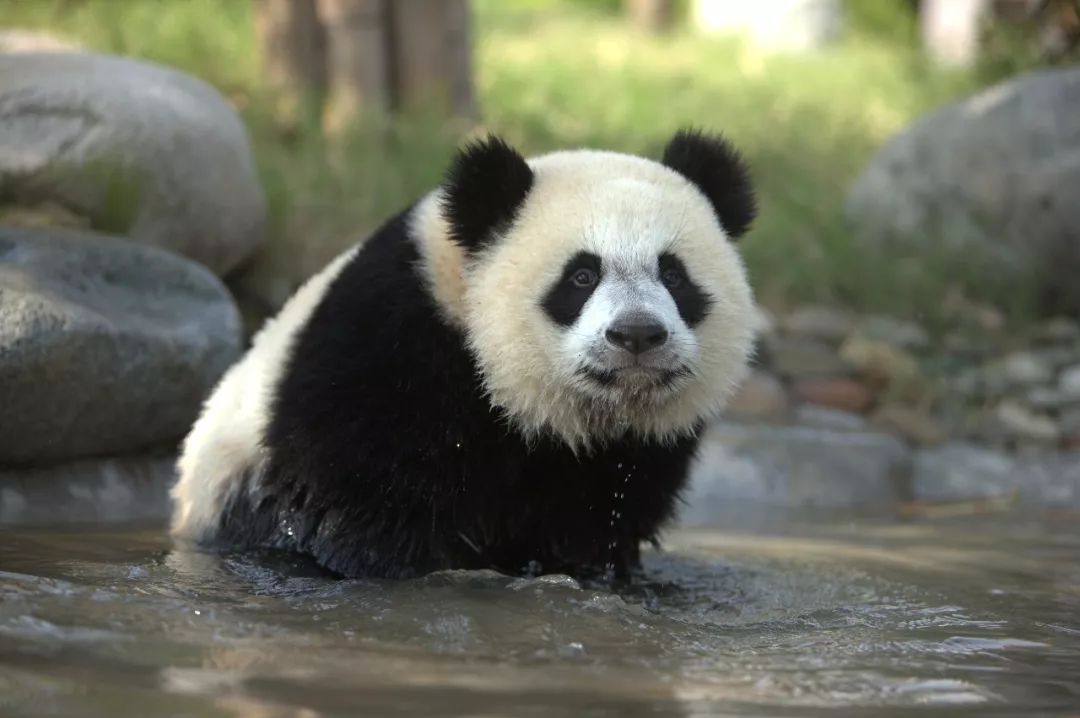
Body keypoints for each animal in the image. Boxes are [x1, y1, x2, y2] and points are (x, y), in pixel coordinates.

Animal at [170, 128, 757, 580]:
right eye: (581, 276)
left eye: (674, 275)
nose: (636, 334)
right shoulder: (389, 354)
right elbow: (355, 498)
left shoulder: (630, 455)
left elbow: (598, 524)